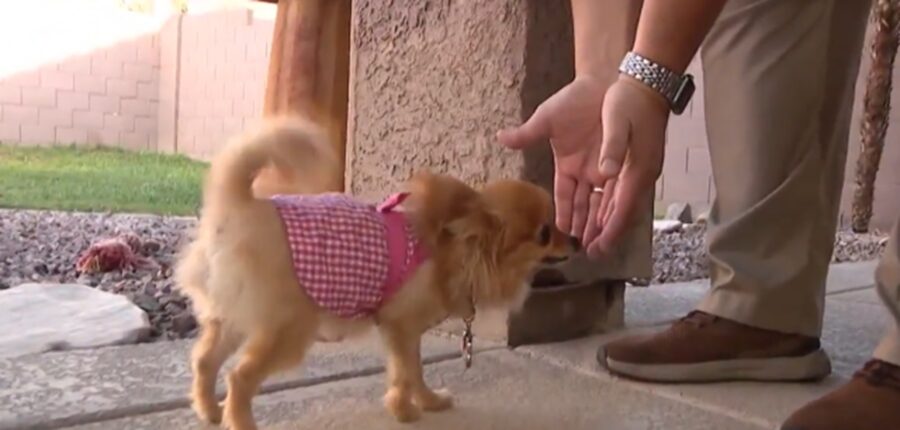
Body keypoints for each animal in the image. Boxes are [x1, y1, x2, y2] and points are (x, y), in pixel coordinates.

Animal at [176, 116, 580, 428]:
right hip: (286, 329)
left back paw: (211, 412)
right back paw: (240, 421)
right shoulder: (400, 327)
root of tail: (238, 206)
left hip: (233, 318)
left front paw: (428, 402)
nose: (576, 239)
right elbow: (405, 373)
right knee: (239, 376)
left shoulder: (404, 331)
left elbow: (414, 371)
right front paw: (405, 411)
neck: (451, 251)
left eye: (557, 225)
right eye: (545, 233)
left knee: (206, 361)